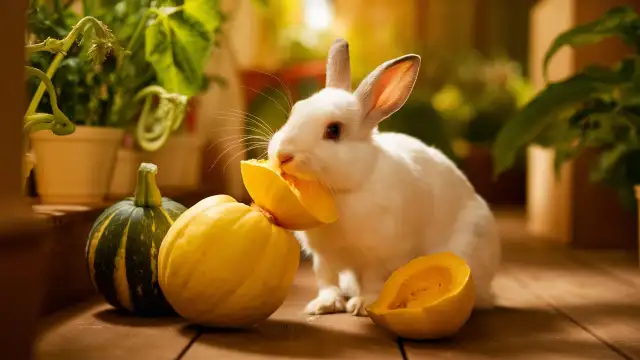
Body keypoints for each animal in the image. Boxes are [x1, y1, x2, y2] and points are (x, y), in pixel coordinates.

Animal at [264, 38, 500, 316]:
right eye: (296, 111)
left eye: (334, 130)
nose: (282, 155)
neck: (344, 190)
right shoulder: (324, 257)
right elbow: (326, 280)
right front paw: (323, 305)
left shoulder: (381, 256)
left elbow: (373, 281)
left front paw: (362, 305)